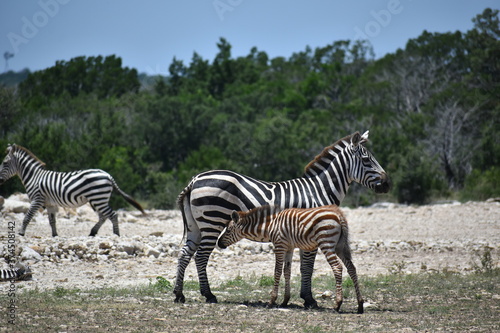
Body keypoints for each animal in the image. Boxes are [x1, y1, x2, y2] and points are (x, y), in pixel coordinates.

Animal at [0, 143, 146, 236]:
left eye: (5, 163)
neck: (34, 177)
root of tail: (108, 175)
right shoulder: (50, 203)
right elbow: (52, 221)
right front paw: (55, 235)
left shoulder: (37, 199)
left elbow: (27, 217)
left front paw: (21, 233)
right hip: (98, 200)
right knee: (104, 216)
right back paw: (93, 232)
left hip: (98, 199)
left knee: (113, 215)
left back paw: (116, 235)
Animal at [219, 204, 364, 312]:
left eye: (228, 230)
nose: (219, 244)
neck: (270, 225)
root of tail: (339, 214)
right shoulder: (289, 247)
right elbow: (286, 271)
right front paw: (285, 301)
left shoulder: (279, 245)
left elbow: (277, 271)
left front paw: (271, 301)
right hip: (340, 246)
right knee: (351, 268)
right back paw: (360, 304)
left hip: (326, 243)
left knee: (337, 267)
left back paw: (338, 304)